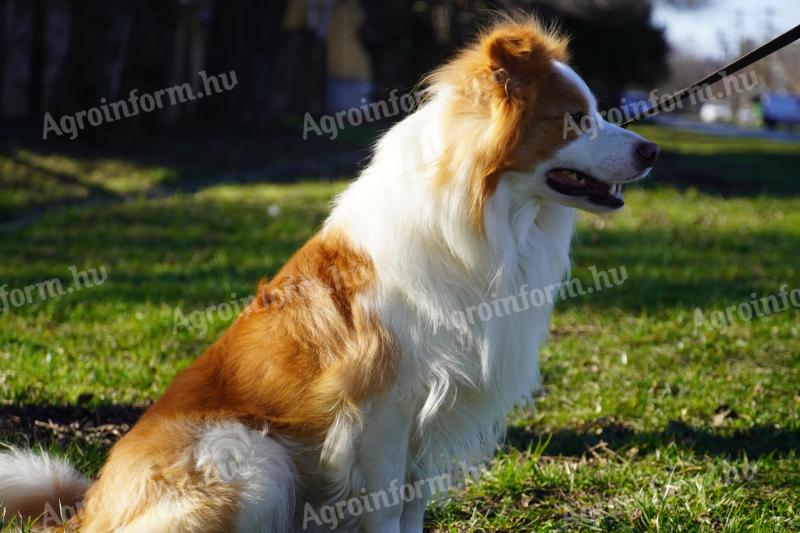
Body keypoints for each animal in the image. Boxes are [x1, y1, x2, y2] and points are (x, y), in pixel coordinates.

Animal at [1, 16, 656, 532]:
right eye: (575, 120)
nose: (650, 150)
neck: (490, 220)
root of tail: (88, 510)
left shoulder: (429, 416)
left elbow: (412, 509)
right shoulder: (382, 410)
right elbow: (387, 510)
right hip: (250, 453)